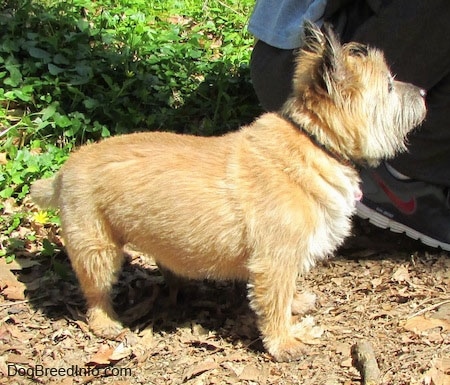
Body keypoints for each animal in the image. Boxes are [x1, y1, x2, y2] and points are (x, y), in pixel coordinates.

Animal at [31, 23, 426, 360]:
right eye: (389, 86)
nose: (423, 91)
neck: (314, 142)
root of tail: (65, 169)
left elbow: (287, 294)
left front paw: (296, 307)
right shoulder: (275, 261)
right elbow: (274, 305)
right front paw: (284, 341)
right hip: (97, 251)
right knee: (95, 294)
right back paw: (106, 323)